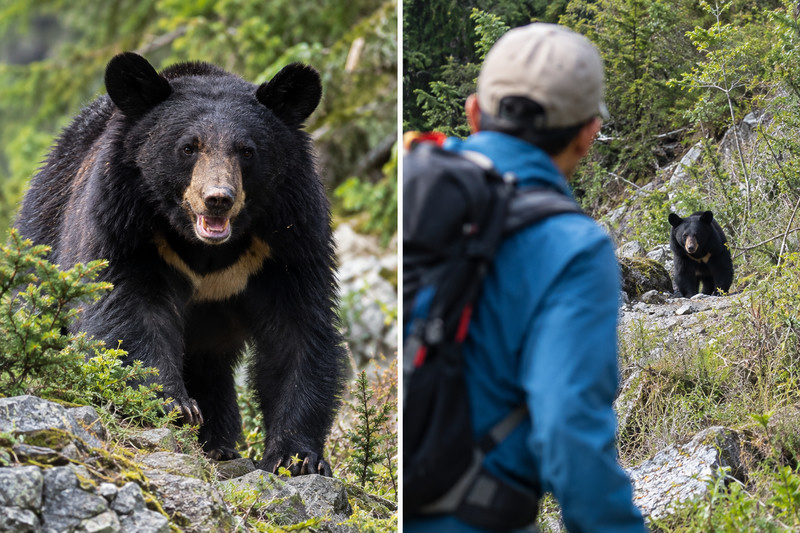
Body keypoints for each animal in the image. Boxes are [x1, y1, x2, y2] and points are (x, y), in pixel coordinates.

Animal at [15, 52, 348, 476]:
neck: (205, 247)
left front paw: (297, 455)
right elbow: (128, 310)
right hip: (45, 236)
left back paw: (220, 444)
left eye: (247, 150)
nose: (218, 198)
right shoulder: (126, 226)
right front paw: (176, 405)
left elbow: (297, 331)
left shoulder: (287, 241)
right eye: (189, 147)